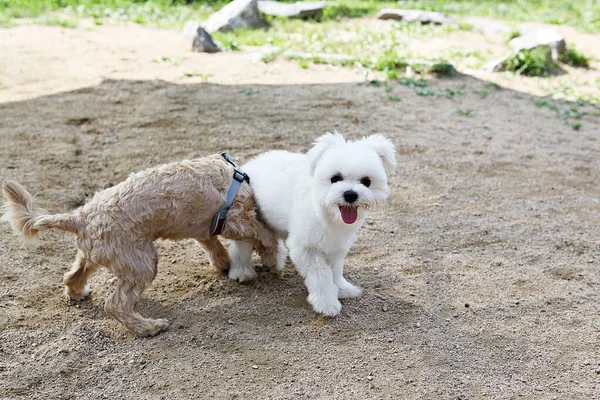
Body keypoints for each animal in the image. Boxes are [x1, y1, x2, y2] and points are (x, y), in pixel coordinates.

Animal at [1, 155, 278, 336]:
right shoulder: (236, 220)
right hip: (141, 264)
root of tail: (80, 216)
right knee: (115, 305)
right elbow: (264, 235)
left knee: (71, 277)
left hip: (94, 255)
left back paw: (78, 293)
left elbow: (215, 247)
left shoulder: (205, 229)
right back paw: (149, 327)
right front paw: (273, 258)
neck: (242, 179)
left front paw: (225, 265)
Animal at [227, 134, 396, 316]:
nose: (350, 194)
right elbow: (321, 274)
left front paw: (342, 289)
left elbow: (335, 271)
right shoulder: (305, 249)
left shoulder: (336, 247)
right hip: (247, 219)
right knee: (241, 246)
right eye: (335, 178)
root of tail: (252, 163)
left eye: (366, 181)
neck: (327, 214)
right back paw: (242, 272)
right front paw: (327, 302)